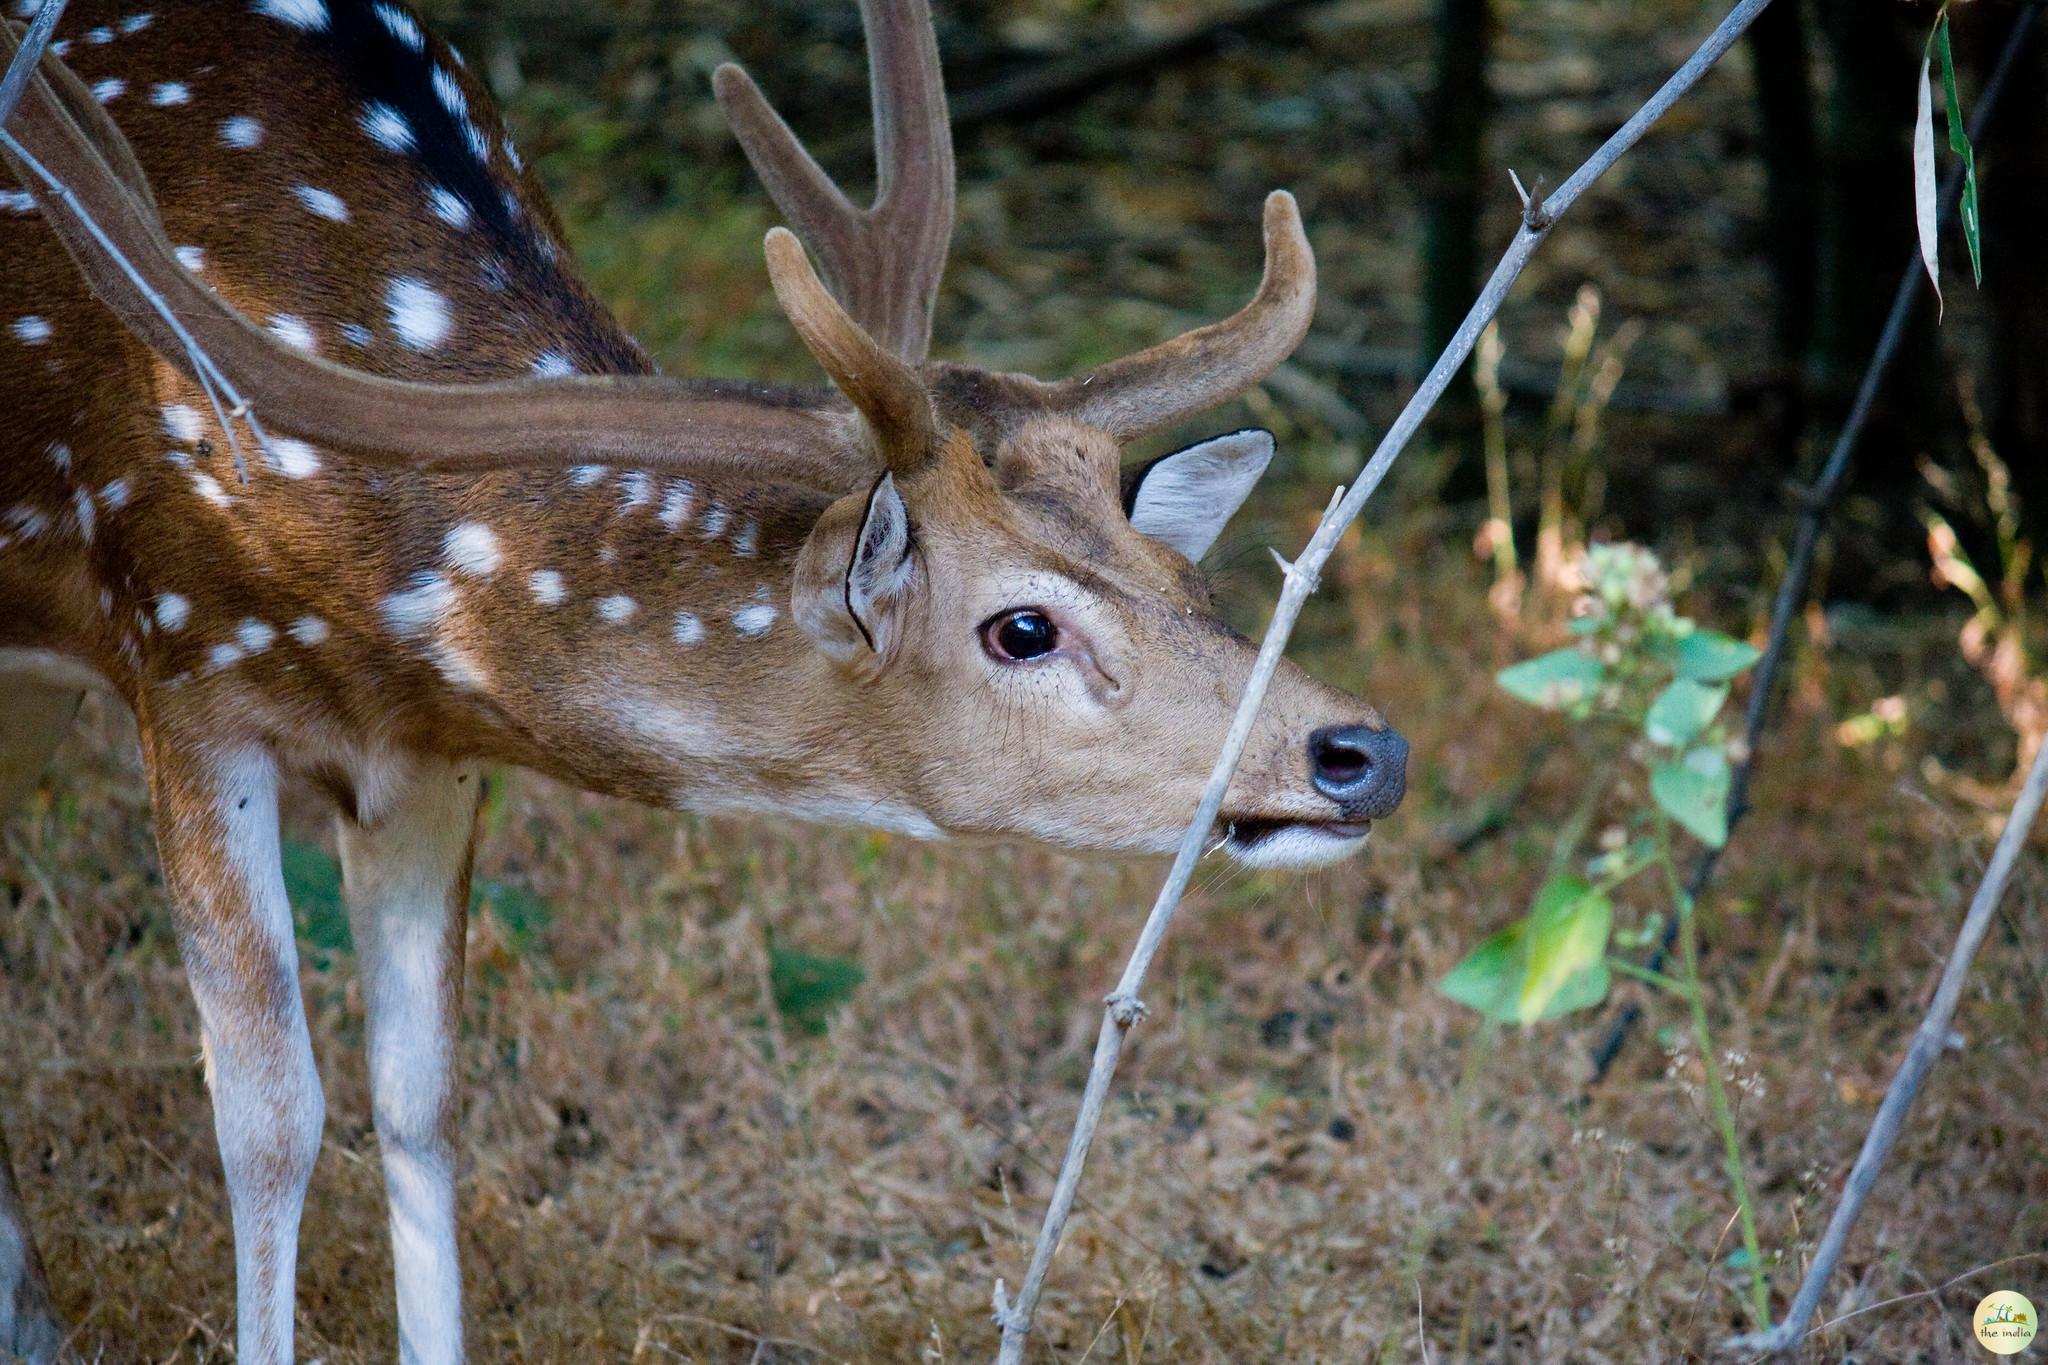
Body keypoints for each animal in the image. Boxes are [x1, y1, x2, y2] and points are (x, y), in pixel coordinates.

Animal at [0, 0, 1409, 1358]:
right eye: (1020, 628)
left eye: (1188, 581)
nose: (1361, 751)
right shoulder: (183, 662)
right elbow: (269, 1122)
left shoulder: (425, 755)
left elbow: (422, 1101)